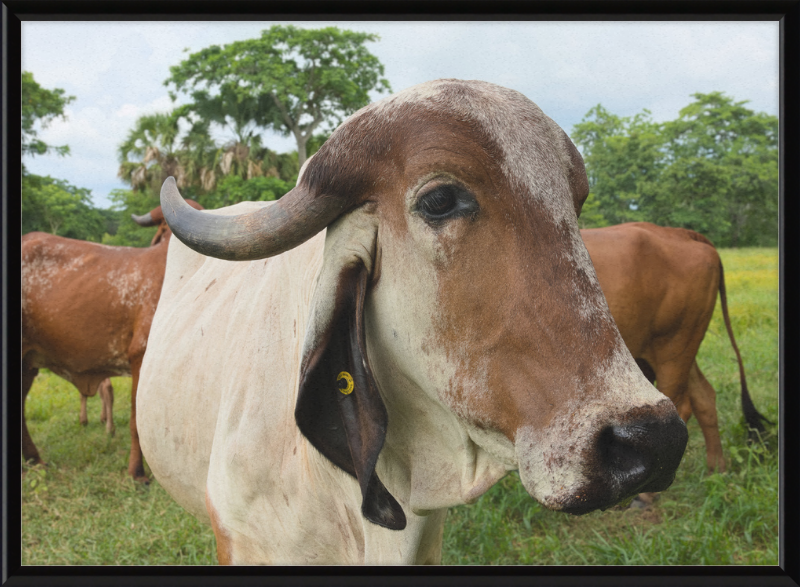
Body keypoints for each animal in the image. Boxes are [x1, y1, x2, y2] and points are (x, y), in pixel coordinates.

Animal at [21, 200, 203, 480]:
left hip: (29, 362)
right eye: (165, 228)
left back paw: (34, 460)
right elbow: (136, 422)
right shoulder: (140, 356)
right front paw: (137, 472)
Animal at [580, 223, 768, 476]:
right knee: (703, 396)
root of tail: (680, 232)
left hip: (672, 347)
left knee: (678, 407)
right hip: (684, 344)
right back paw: (716, 469)